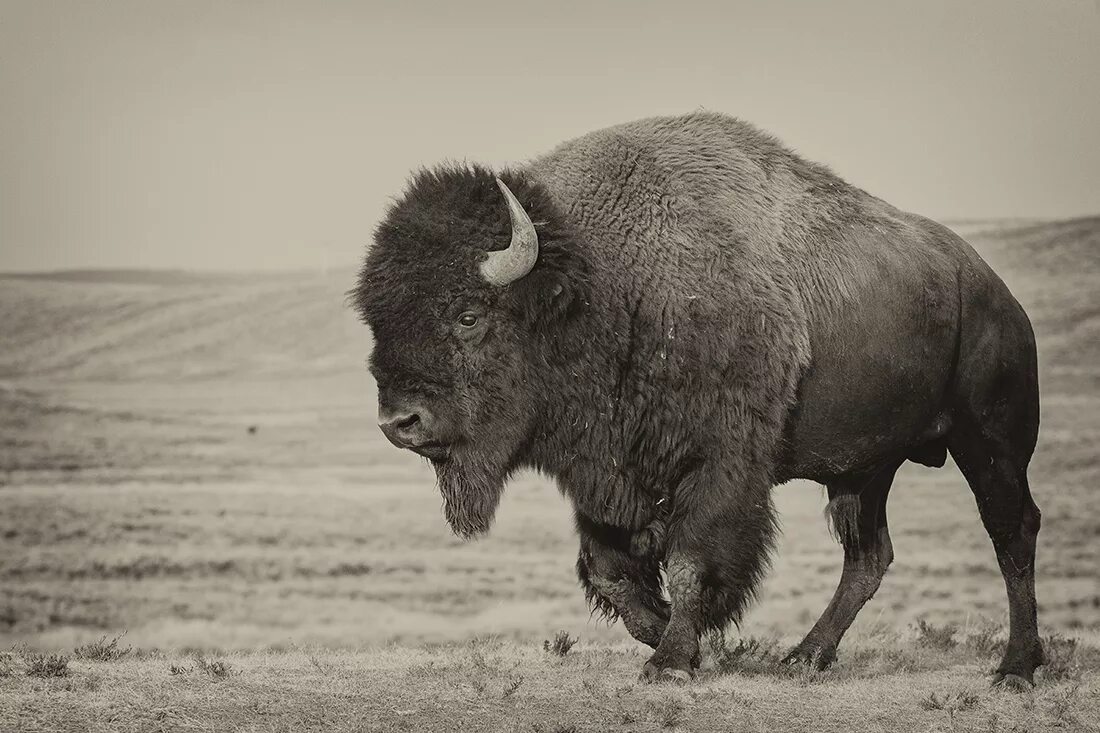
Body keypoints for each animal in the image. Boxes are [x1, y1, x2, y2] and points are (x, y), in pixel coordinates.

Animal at [352, 112, 1038, 686]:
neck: (601, 287)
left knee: (1012, 530)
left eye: (468, 316)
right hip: (870, 466)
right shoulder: (606, 478)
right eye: (377, 322)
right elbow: (611, 572)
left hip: (990, 442)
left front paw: (673, 662)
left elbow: (688, 563)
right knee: (868, 557)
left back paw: (1017, 669)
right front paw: (680, 639)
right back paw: (805, 658)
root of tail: (990, 286)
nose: (400, 422)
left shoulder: (718, 468)